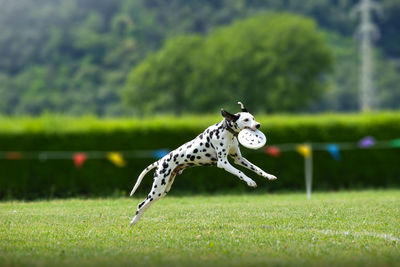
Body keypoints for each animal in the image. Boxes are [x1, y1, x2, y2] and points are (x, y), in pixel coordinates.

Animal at [130, 102, 276, 226]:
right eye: (246, 120)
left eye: (253, 118)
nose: (258, 125)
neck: (225, 131)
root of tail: (160, 161)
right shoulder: (223, 162)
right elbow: (240, 172)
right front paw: (250, 181)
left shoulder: (238, 159)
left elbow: (257, 168)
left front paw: (269, 176)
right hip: (158, 188)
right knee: (140, 205)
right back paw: (132, 223)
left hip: (162, 191)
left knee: (144, 205)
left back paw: (136, 222)